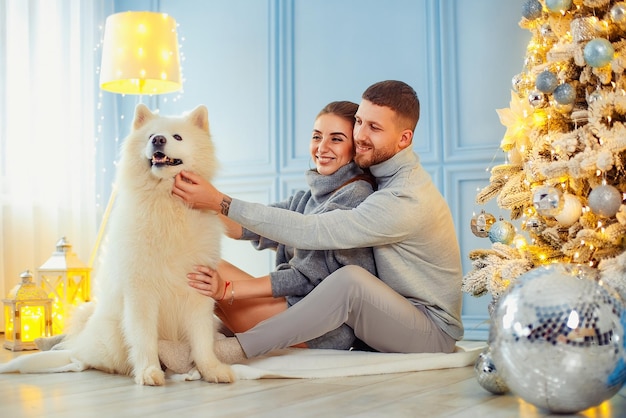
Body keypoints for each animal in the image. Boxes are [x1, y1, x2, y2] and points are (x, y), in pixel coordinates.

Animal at [0, 104, 234, 386]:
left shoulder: (198, 291)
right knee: (83, 358)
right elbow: (144, 338)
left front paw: (211, 369)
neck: (166, 203)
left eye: (177, 137)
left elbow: (202, 341)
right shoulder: (141, 292)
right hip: (110, 336)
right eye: (151, 135)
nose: (158, 140)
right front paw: (148, 371)